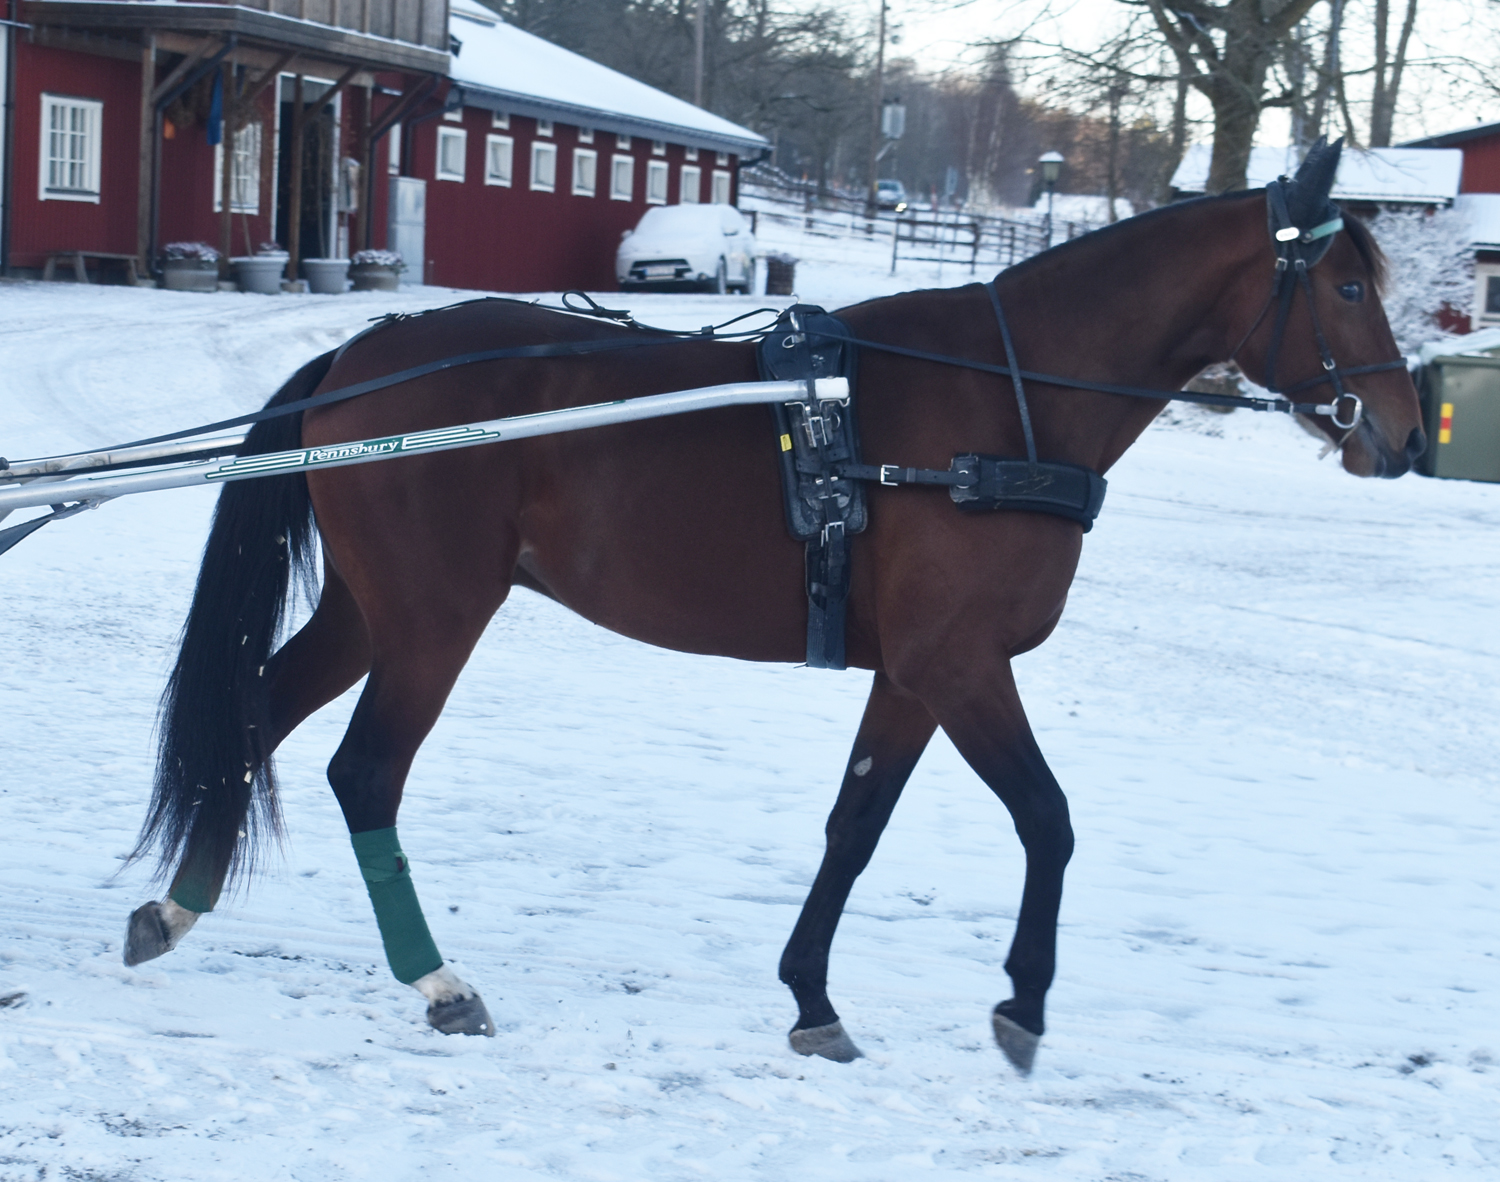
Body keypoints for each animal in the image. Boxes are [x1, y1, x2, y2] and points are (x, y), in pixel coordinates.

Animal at [126, 141, 1416, 1074]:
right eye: (1349, 282)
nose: (1404, 439)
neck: (999, 408)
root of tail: (363, 359)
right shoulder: (961, 665)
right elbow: (1048, 822)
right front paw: (1023, 1006)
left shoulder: (913, 675)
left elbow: (856, 827)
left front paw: (811, 998)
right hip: (435, 620)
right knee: (364, 773)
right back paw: (438, 982)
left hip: (373, 612)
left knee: (257, 710)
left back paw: (177, 908)